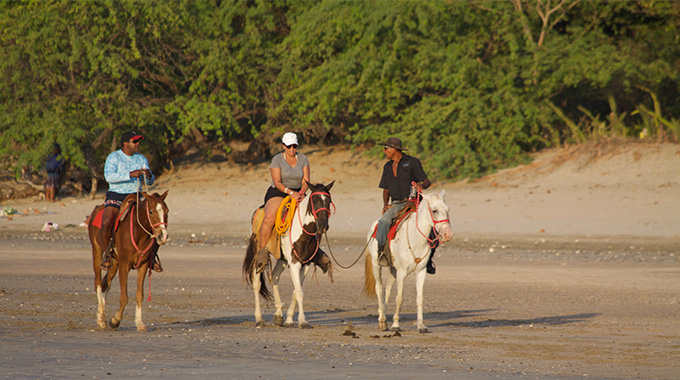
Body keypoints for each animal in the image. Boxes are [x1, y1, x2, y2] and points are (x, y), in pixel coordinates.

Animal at [87, 191, 169, 332]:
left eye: (166, 211)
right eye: (151, 211)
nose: (162, 236)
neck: (139, 233)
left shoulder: (143, 265)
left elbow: (139, 294)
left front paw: (139, 323)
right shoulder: (124, 265)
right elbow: (124, 297)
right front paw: (115, 321)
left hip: (114, 263)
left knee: (105, 284)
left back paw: (100, 318)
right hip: (97, 251)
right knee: (98, 283)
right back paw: (102, 319)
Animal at [244, 180, 334, 326]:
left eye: (329, 201)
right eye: (314, 200)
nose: (323, 225)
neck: (303, 232)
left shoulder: (305, 263)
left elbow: (295, 291)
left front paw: (289, 319)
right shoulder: (294, 263)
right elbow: (299, 292)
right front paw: (302, 321)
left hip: (282, 259)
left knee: (274, 277)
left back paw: (278, 315)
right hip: (258, 256)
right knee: (257, 283)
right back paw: (259, 319)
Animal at [364, 190, 454, 332]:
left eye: (447, 210)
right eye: (434, 210)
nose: (447, 234)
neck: (415, 239)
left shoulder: (421, 272)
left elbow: (419, 298)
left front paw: (421, 325)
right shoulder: (402, 272)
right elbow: (399, 298)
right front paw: (396, 325)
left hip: (393, 269)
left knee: (387, 291)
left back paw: (384, 319)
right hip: (376, 265)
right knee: (379, 289)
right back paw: (382, 319)